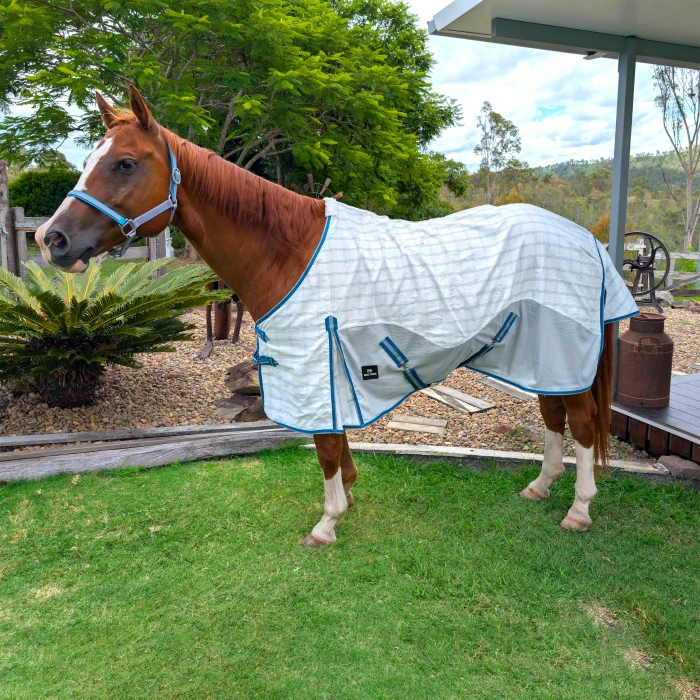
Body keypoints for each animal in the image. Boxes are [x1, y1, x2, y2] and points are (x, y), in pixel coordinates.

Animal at [37, 87, 612, 544]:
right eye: (88, 159)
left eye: (125, 163)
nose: (52, 239)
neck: (289, 251)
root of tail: (584, 238)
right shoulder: (333, 372)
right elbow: (338, 442)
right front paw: (349, 500)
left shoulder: (316, 366)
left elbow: (325, 448)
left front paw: (328, 521)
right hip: (538, 357)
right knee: (554, 416)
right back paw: (539, 487)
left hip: (566, 355)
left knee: (583, 425)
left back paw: (579, 510)